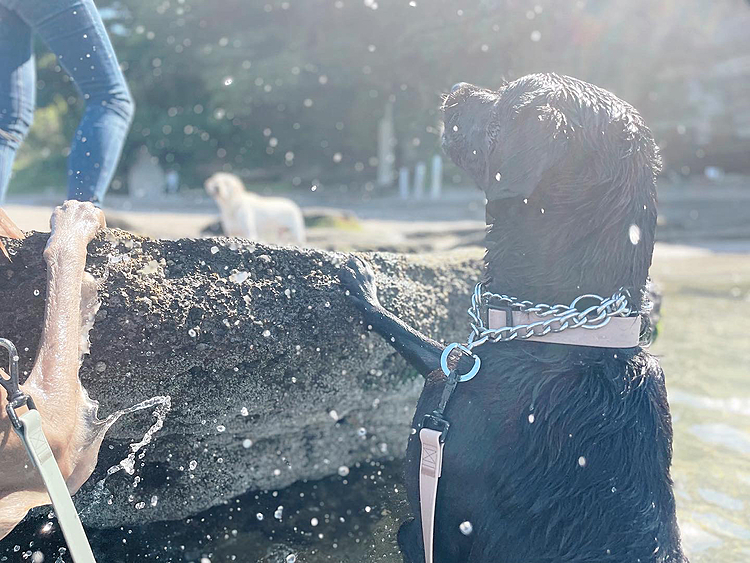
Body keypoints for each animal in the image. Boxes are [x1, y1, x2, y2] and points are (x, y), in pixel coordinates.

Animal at [340, 72, 688, 560]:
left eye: (505, 100)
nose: (458, 87)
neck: (564, 336)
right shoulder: (459, 368)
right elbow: (434, 352)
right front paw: (367, 286)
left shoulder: (431, 528)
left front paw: (361, 286)